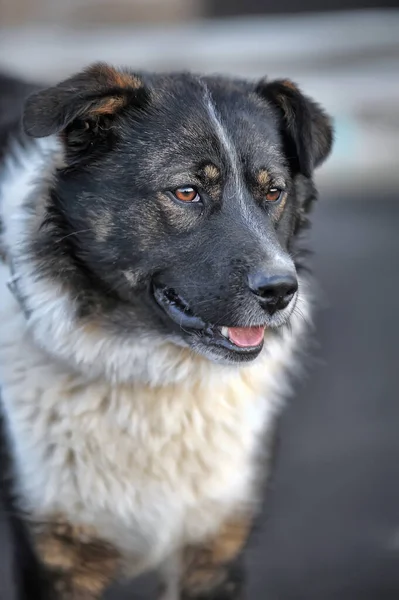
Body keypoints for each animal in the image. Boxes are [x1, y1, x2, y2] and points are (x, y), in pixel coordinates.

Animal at [0, 63, 332, 596]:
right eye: (186, 192)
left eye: (273, 192)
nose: (281, 291)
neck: (153, 371)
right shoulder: (56, 556)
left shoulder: (214, 549)